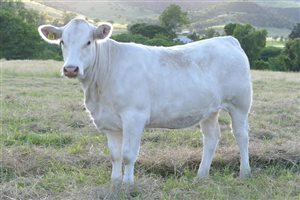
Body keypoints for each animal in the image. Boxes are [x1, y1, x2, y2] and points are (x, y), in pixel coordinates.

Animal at [38, 18, 253, 189]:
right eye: (62, 41)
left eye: (88, 42)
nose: (71, 69)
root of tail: (227, 39)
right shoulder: (108, 122)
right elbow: (115, 155)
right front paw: (114, 183)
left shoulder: (134, 116)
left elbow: (128, 154)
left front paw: (128, 185)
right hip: (209, 110)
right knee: (211, 138)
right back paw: (201, 176)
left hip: (240, 104)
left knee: (241, 135)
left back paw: (245, 173)